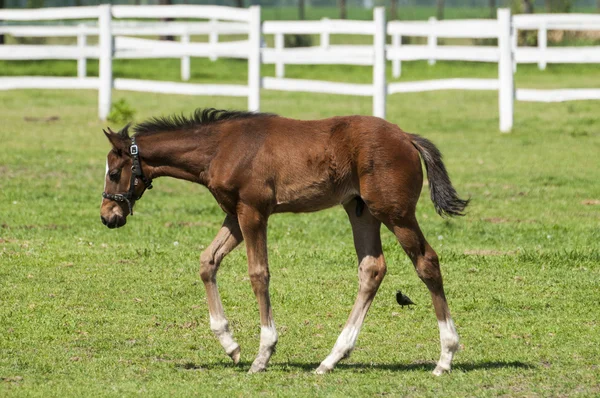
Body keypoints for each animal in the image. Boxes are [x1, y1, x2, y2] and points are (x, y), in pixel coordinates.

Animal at [101, 107, 468, 374]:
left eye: (114, 173)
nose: (107, 216)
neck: (220, 148)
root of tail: (406, 137)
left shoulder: (253, 212)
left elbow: (258, 274)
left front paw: (263, 354)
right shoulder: (234, 215)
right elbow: (208, 261)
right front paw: (231, 345)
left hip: (394, 212)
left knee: (426, 262)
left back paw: (445, 358)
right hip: (360, 210)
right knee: (372, 268)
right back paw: (331, 359)